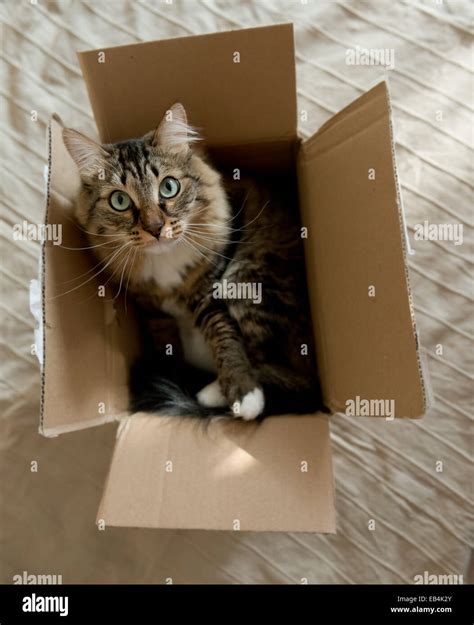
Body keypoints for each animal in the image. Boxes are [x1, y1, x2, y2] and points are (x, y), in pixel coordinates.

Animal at [62, 103, 322, 420]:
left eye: (169, 187)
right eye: (120, 201)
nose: (155, 228)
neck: (163, 261)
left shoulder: (209, 291)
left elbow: (226, 338)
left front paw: (244, 394)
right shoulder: (150, 308)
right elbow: (167, 346)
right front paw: (174, 372)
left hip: (245, 279)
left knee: (280, 371)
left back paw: (212, 394)